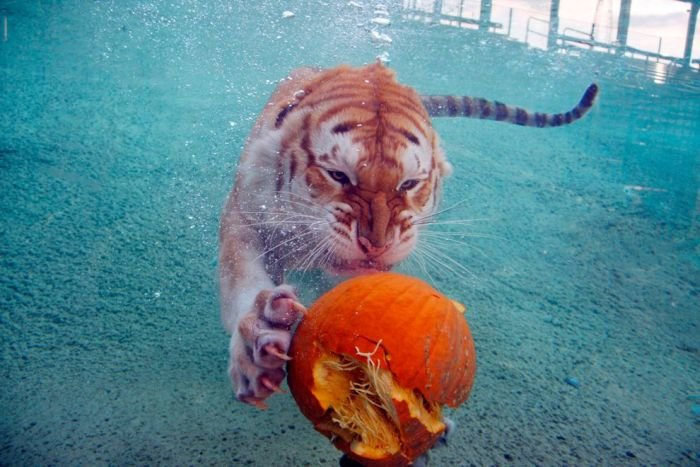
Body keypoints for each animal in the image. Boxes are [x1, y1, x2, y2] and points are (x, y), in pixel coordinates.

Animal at [219, 62, 598, 409]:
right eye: (338, 175)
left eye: (409, 184)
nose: (376, 243)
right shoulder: (244, 216)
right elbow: (242, 279)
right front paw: (256, 346)